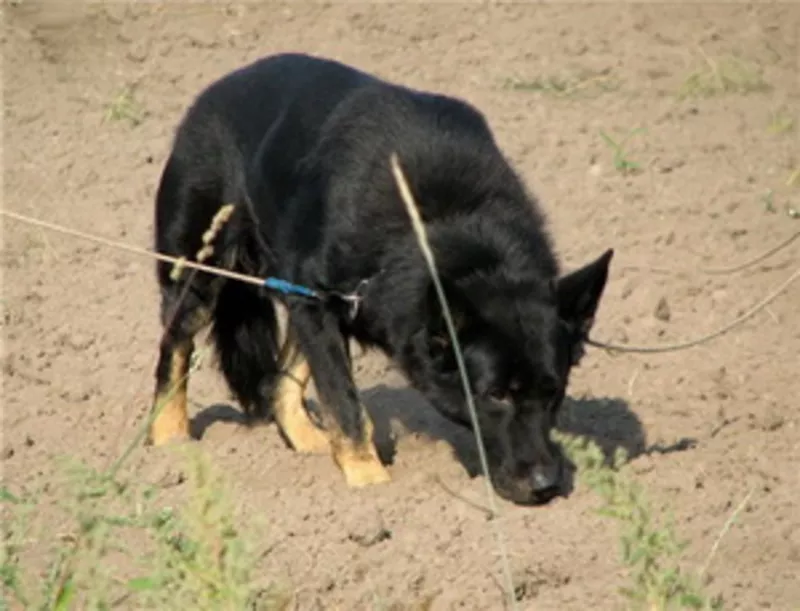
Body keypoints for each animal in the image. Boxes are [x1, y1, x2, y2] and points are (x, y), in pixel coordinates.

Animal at [150, 53, 612, 506]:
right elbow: (347, 407)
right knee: (175, 345)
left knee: (281, 382)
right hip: (201, 272)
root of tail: (215, 91)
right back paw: (169, 440)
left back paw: (308, 443)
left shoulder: (319, 303)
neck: (447, 221)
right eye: (496, 395)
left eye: (554, 391)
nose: (546, 486)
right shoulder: (319, 306)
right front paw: (369, 484)